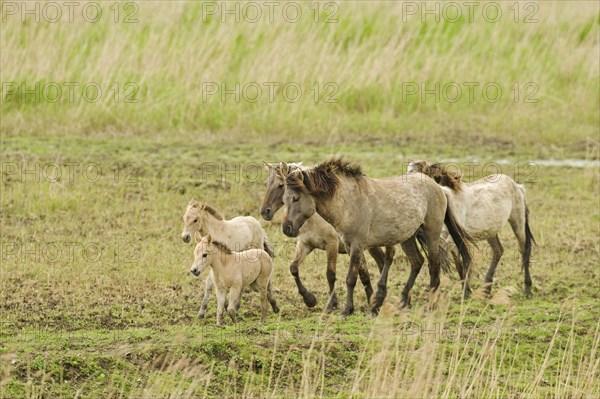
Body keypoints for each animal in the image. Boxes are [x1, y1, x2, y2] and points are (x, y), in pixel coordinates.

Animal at [262, 162, 394, 312]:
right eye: (266, 183)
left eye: (281, 185)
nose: (265, 212)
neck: (314, 218)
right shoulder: (305, 244)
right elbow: (293, 268)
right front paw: (310, 300)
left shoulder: (332, 244)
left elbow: (330, 274)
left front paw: (332, 304)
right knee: (380, 262)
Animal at [282, 158, 474, 314]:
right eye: (284, 199)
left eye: (296, 198)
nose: (286, 228)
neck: (349, 202)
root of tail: (435, 185)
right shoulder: (349, 245)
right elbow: (360, 275)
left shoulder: (356, 244)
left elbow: (350, 278)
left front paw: (347, 309)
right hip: (408, 237)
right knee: (417, 262)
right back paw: (403, 301)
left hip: (431, 232)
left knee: (433, 265)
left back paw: (430, 305)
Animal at [406, 160, 536, 296]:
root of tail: (517, 185)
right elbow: (458, 264)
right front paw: (467, 291)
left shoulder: (453, 239)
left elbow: (463, 261)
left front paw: (465, 292)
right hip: (490, 231)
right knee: (498, 251)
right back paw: (486, 289)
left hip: (517, 221)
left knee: (524, 249)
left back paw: (527, 289)